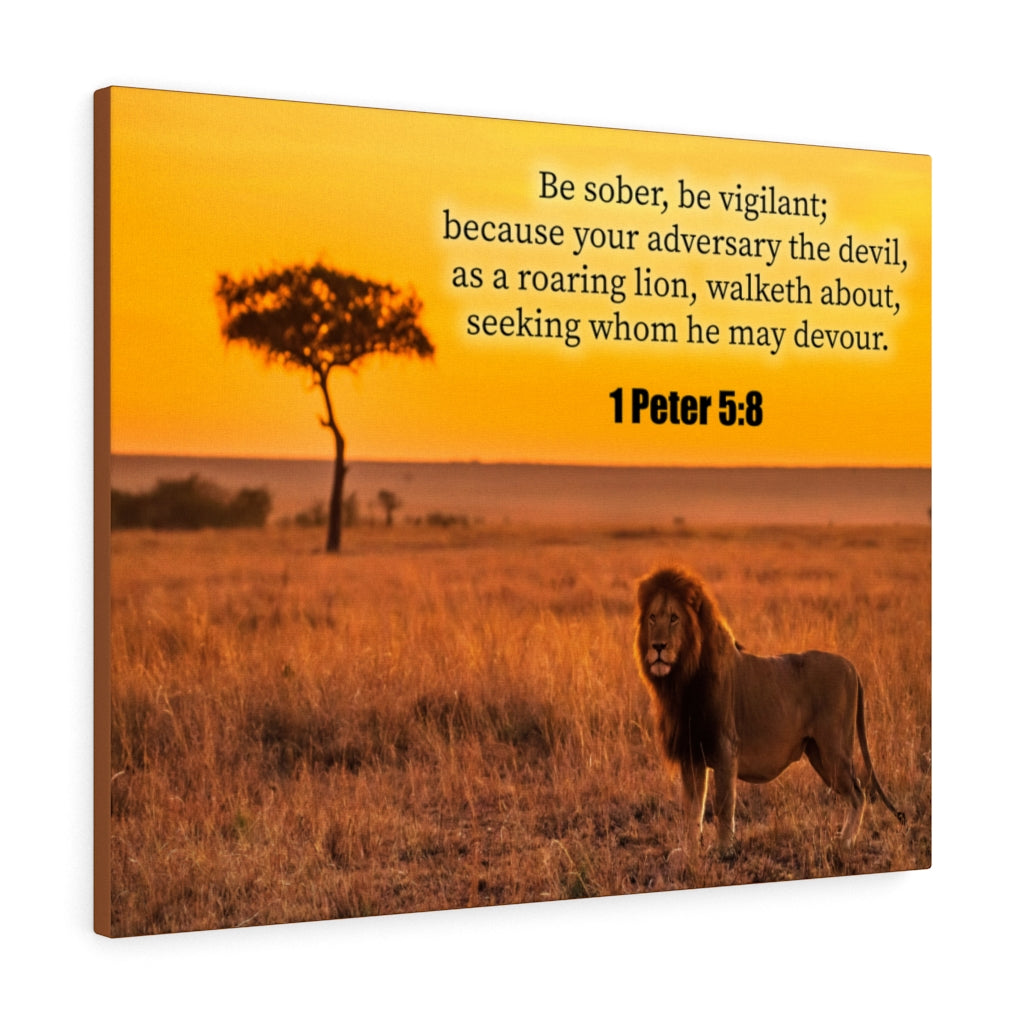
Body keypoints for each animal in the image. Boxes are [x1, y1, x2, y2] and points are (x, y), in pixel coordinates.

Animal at [635, 566, 904, 858]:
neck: (682, 679)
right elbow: (692, 808)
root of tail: (850, 666)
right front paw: (689, 852)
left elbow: (722, 804)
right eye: (652, 618)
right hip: (818, 753)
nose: (657, 647)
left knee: (858, 793)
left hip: (833, 749)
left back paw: (843, 843)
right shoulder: (692, 752)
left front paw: (723, 850)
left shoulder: (725, 748)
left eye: (674, 618)